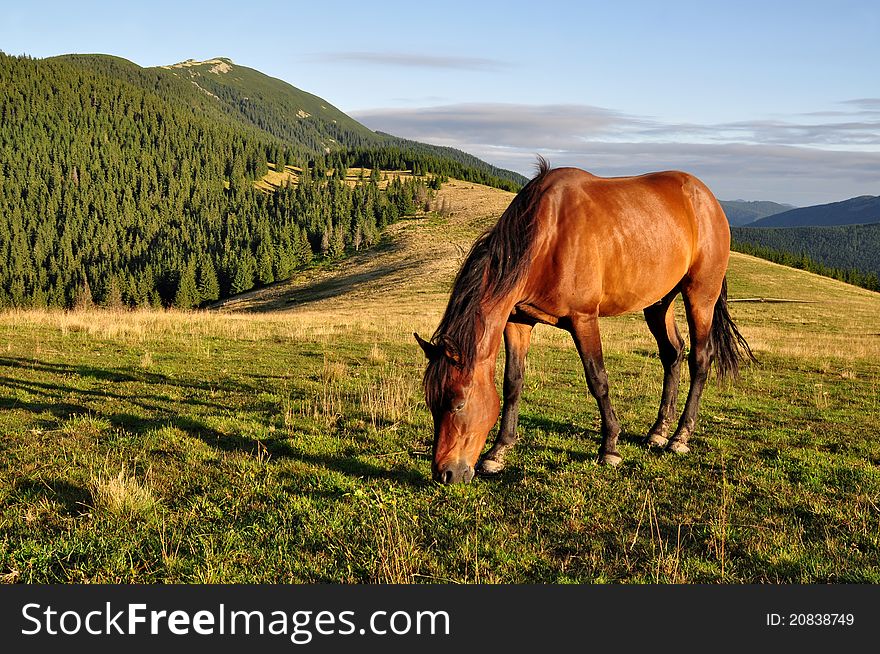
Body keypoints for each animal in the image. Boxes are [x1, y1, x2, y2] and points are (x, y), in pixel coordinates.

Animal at [416, 158, 752, 486]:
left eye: (458, 403)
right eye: (431, 402)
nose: (446, 473)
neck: (546, 237)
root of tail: (707, 198)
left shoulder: (584, 319)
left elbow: (598, 380)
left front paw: (610, 448)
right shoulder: (518, 321)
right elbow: (513, 383)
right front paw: (498, 451)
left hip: (701, 296)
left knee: (700, 359)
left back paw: (680, 437)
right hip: (659, 302)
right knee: (672, 353)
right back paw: (659, 431)